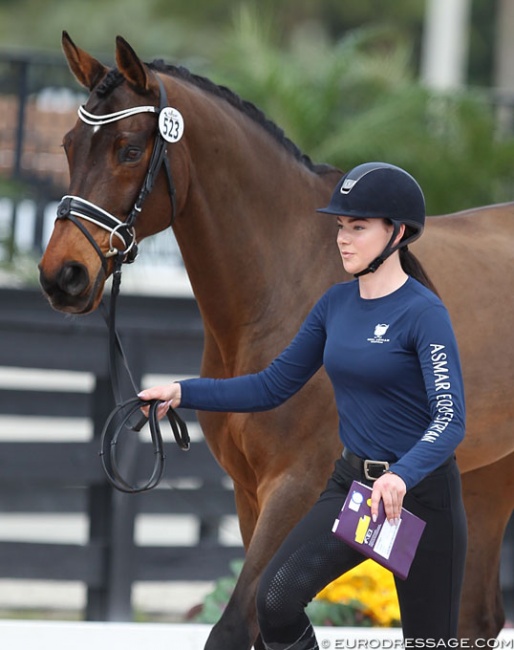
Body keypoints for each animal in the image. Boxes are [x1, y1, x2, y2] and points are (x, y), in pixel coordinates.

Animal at [37, 34, 512, 644]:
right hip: (489, 476)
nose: (62, 276)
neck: (282, 282)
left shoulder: (296, 487)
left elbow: (238, 622)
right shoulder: (248, 493)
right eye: (69, 146)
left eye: (129, 148)